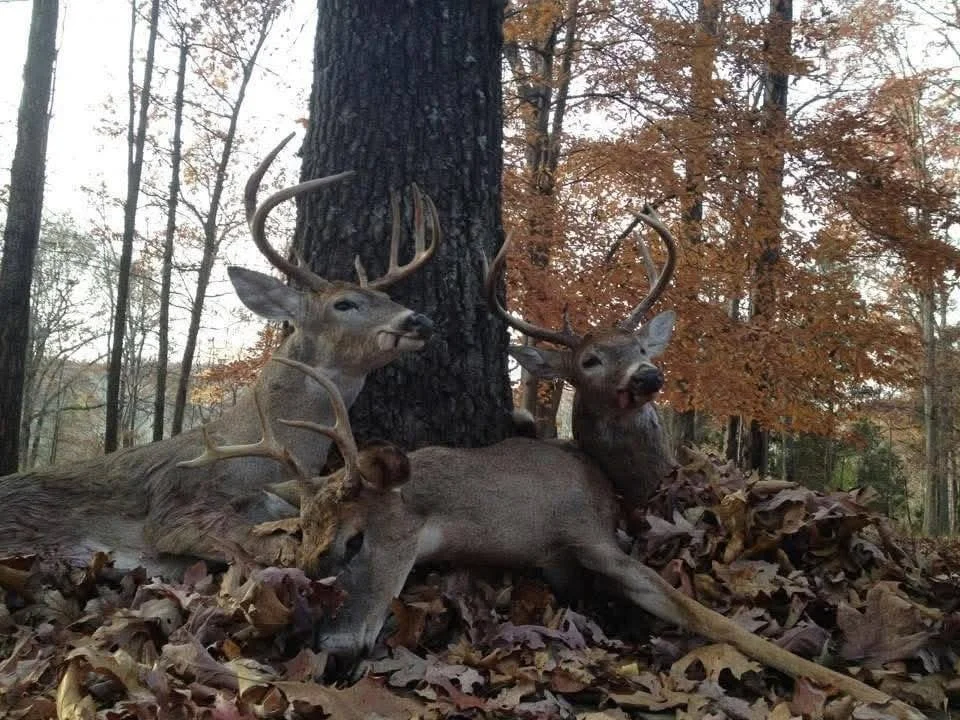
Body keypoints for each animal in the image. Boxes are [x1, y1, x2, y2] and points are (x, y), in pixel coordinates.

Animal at [190, 359, 923, 720]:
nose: (330, 651)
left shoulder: (584, 532)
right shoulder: (551, 557)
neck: (501, 522)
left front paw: (875, 695)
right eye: (304, 548)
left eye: (352, 542)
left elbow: (699, 613)